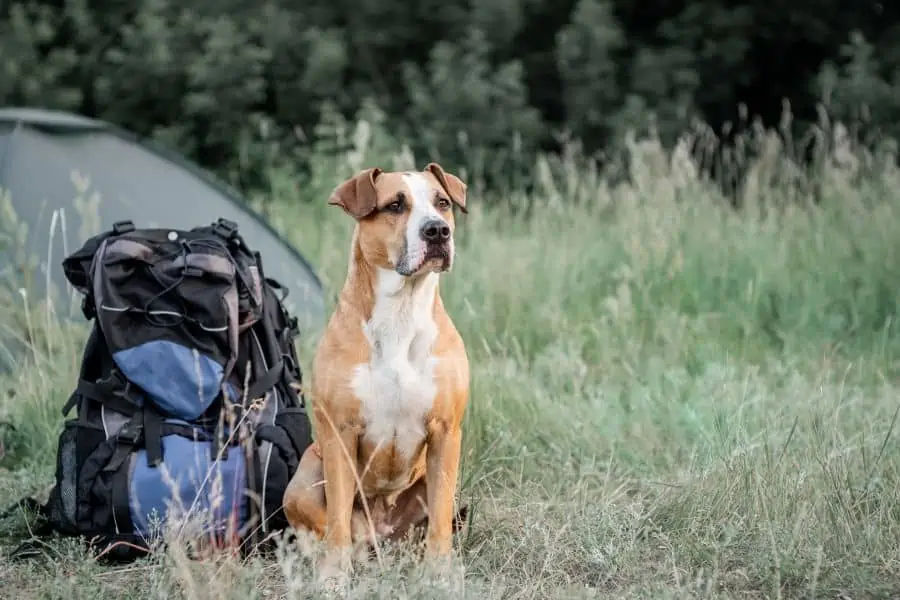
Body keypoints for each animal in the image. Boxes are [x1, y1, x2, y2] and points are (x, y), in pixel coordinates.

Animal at [284, 161, 472, 580]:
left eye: (442, 202)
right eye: (394, 205)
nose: (438, 230)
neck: (401, 311)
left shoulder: (445, 432)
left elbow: (439, 518)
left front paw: (439, 577)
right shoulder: (340, 433)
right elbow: (337, 518)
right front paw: (333, 579)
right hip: (305, 474)